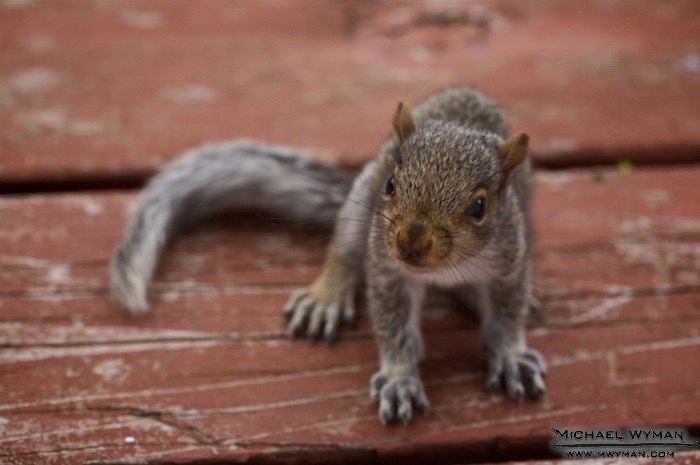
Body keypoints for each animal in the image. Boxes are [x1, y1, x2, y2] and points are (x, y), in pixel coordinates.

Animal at [111, 87, 546, 424]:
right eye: (391, 184)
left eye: (479, 207)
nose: (411, 242)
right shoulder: (386, 270)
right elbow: (394, 327)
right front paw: (399, 379)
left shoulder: (509, 263)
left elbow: (506, 315)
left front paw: (511, 357)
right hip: (359, 209)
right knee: (345, 251)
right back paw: (326, 297)